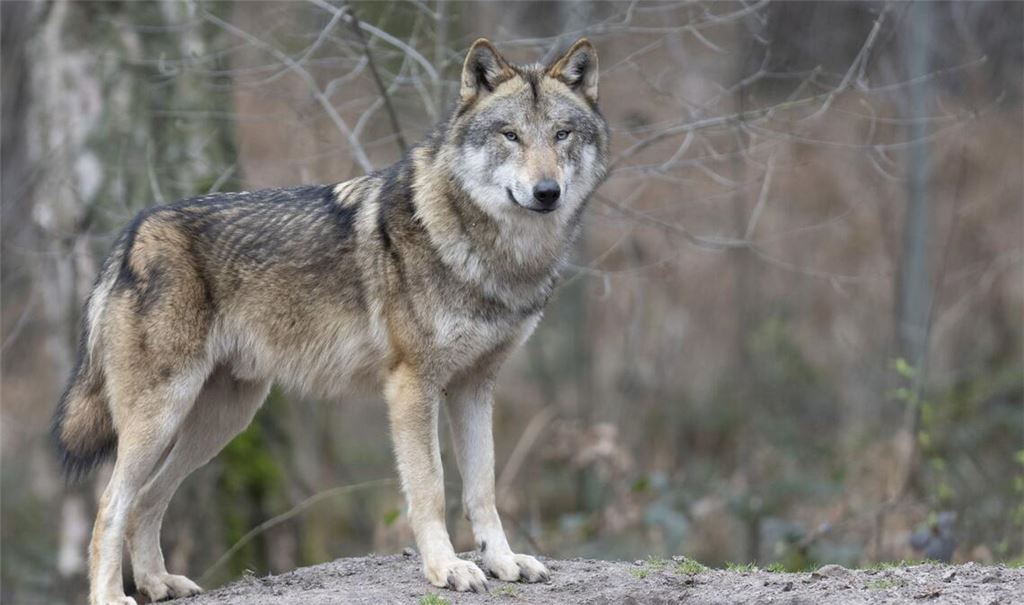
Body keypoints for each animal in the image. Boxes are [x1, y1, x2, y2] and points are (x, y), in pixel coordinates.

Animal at [52, 37, 608, 604]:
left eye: (561, 134)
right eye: (510, 135)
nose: (547, 191)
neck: (494, 255)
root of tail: (132, 234)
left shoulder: (475, 387)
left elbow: (482, 488)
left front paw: (502, 562)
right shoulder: (412, 386)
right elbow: (430, 489)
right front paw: (447, 568)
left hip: (222, 421)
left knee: (147, 501)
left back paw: (159, 582)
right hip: (164, 414)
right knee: (110, 506)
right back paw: (112, 595)